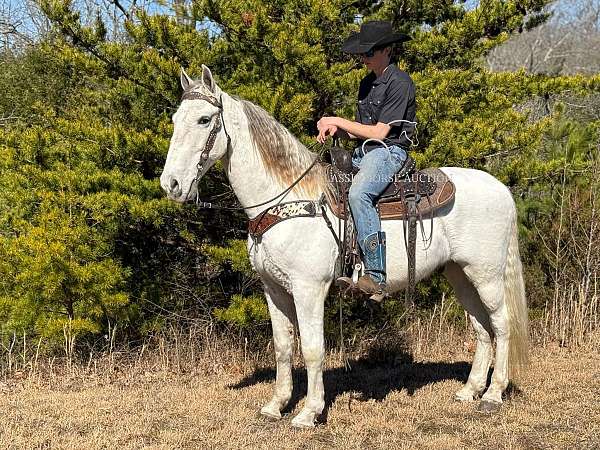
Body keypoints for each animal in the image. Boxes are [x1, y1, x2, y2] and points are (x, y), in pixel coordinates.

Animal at [161, 65, 528, 428]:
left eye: (204, 120)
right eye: (176, 119)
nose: (171, 184)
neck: (286, 197)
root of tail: (500, 188)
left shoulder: (309, 288)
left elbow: (313, 349)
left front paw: (309, 412)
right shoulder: (273, 288)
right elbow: (283, 346)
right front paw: (276, 405)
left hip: (486, 273)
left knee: (501, 323)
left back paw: (493, 394)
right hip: (459, 273)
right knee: (481, 327)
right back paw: (470, 390)